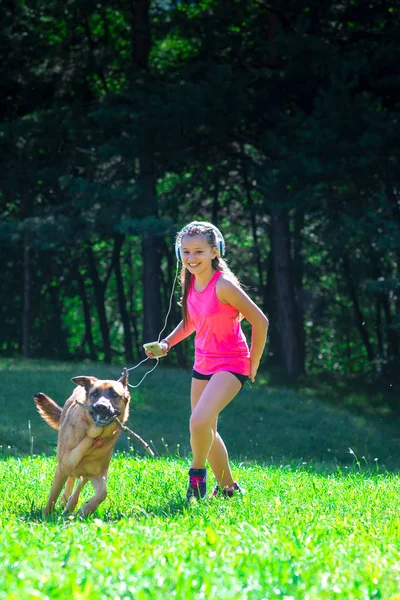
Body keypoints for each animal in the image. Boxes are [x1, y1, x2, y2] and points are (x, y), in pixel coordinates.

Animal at [33, 370, 130, 516]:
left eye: (114, 395)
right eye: (95, 393)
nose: (101, 407)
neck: (92, 438)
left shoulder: (97, 473)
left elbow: (102, 494)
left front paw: (85, 511)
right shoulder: (62, 468)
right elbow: (53, 495)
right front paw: (46, 515)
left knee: (79, 483)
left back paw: (70, 505)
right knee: (71, 482)